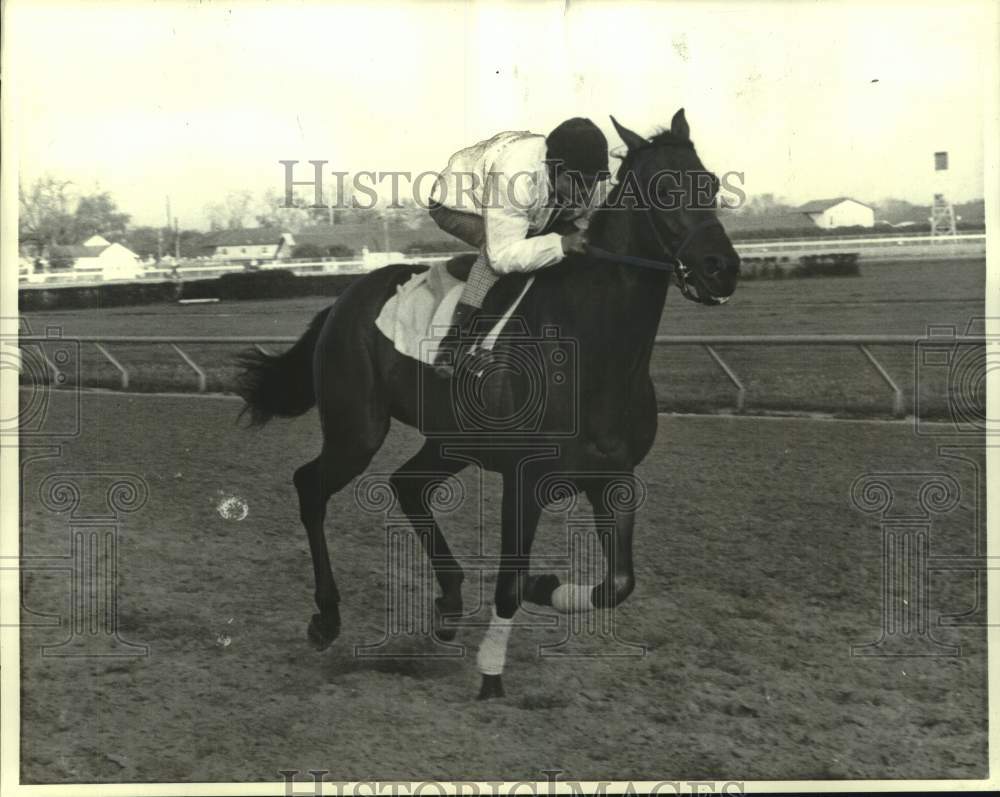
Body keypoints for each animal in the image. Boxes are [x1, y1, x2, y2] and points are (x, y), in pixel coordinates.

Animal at [234, 110, 736, 696]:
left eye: (711, 184)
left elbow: (618, 583)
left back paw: (449, 601)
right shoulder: (524, 481)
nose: (722, 268)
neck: (594, 351)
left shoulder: (615, 476)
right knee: (311, 486)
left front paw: (546, 588)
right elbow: (509, 583)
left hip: (450, 439)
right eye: (662, 189)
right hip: (357, 428)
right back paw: (328, 617)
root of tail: (342, 301)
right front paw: (491, 675)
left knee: (407, 485)